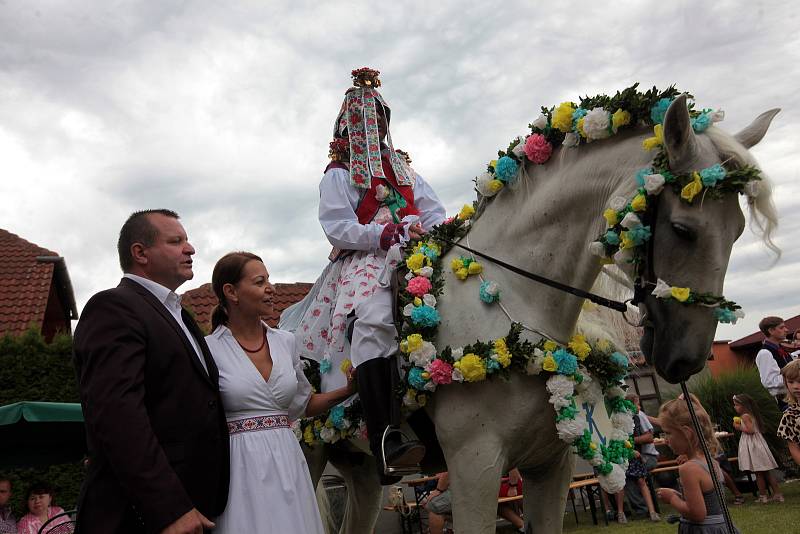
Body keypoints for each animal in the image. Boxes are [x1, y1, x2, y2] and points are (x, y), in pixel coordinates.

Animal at [298, 97, 776, 534]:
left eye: (738, 230)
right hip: (310, 454)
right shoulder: (475, 468)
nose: (685, 358)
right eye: (682, 229)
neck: (510, 298)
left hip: (363, 471)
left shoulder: (550, 466)